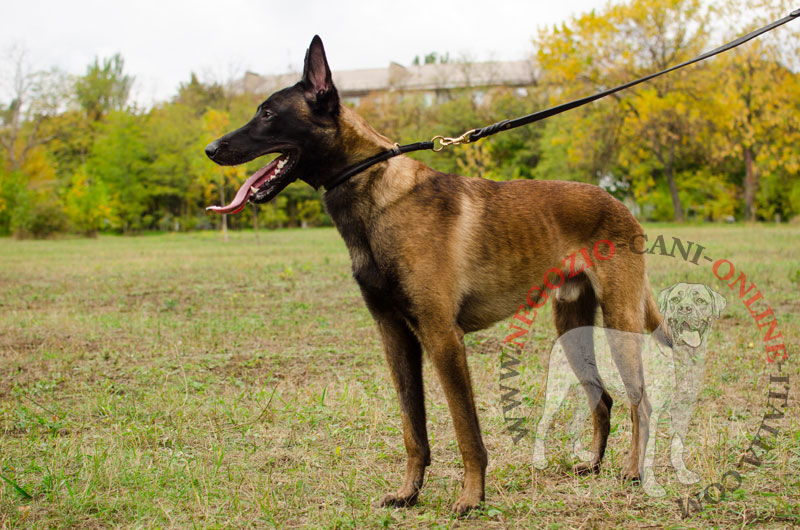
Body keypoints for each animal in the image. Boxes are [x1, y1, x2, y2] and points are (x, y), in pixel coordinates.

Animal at [205, 36, 664, 512]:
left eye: (268, 114)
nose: (211, 149)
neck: (374, 191)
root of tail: (620, 204)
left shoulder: (443, 337)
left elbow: (466, 431)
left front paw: (472, 497)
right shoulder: (395, 336)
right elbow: (413, 429)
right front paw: (409, 492)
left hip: (619, 323)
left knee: (641, 402)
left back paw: (632, 472)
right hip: (571, 329)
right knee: (603, 398)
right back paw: (593, 464)